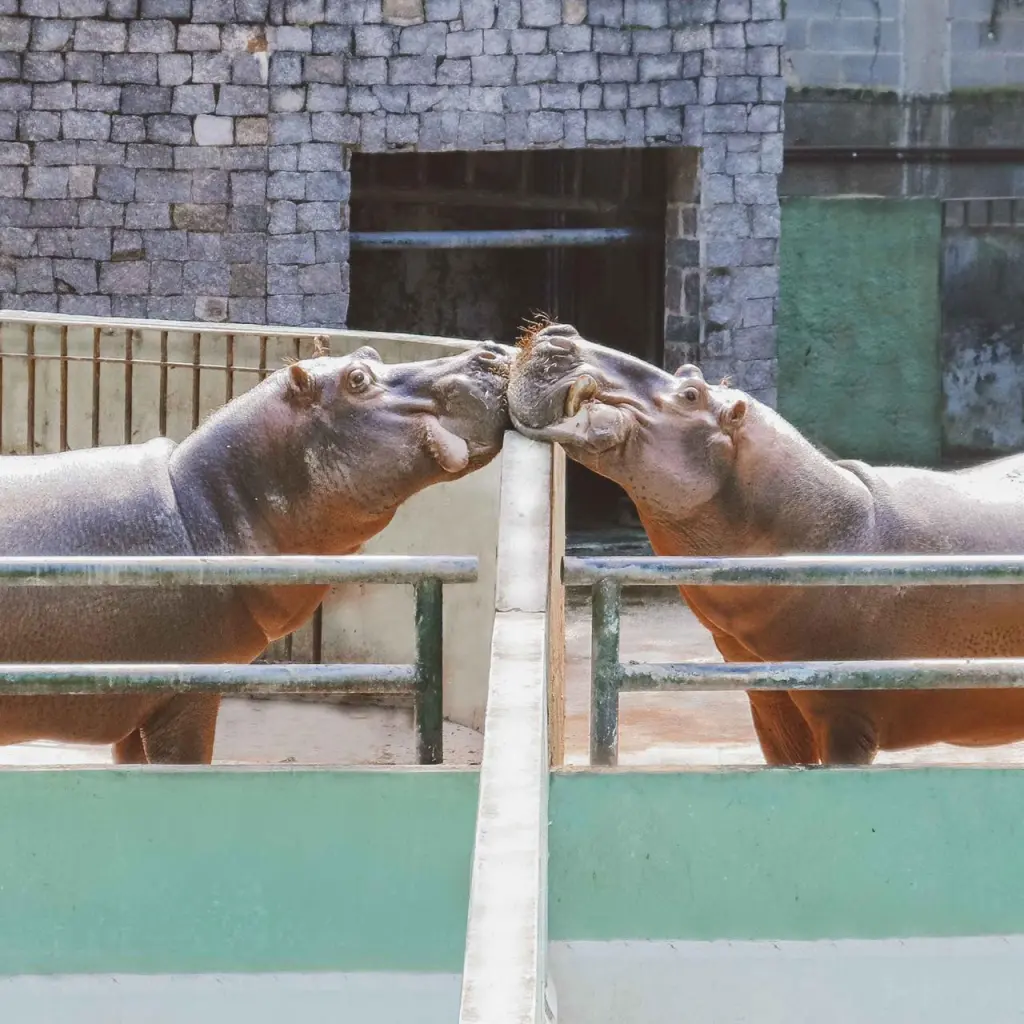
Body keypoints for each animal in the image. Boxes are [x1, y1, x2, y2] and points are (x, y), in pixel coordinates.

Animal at [0, 339, 512, 765]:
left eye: (370, 352)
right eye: (357, 380)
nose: (487, 353)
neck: (206, 504)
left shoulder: (136, 709)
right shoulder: (186, 688)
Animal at [509, 323, 1024, 765]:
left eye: (690, 395)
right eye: (689, 371)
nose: (562, 335)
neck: (839, 527)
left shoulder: (846, 714)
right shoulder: (770, 702)